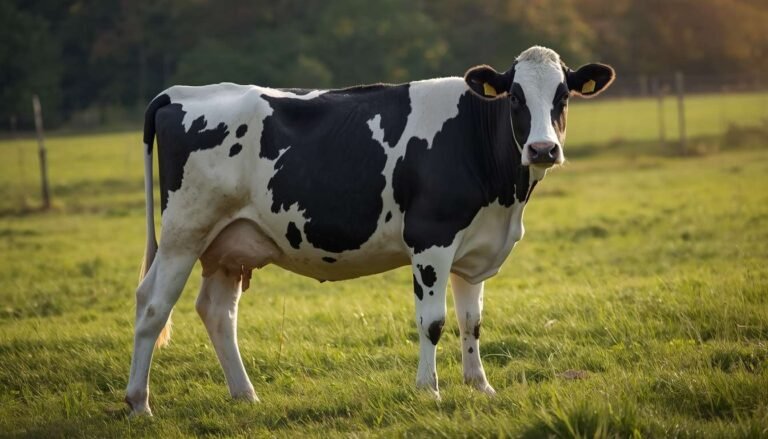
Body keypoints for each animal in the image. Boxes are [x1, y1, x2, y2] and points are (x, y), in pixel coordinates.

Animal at [125, 46, 615, 415]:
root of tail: (179, 93)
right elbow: (433, 321)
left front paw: (480, 387)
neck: (503, 196)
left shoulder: (474, 248)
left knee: (217, 312)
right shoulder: (430, 240)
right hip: (184, 232)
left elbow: (471, 322)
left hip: (229, 244)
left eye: (563, 97)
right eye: (514, 98)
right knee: (153, 305)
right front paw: (429, 390)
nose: (543, 149)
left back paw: (246, 396)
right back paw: (139, 403)